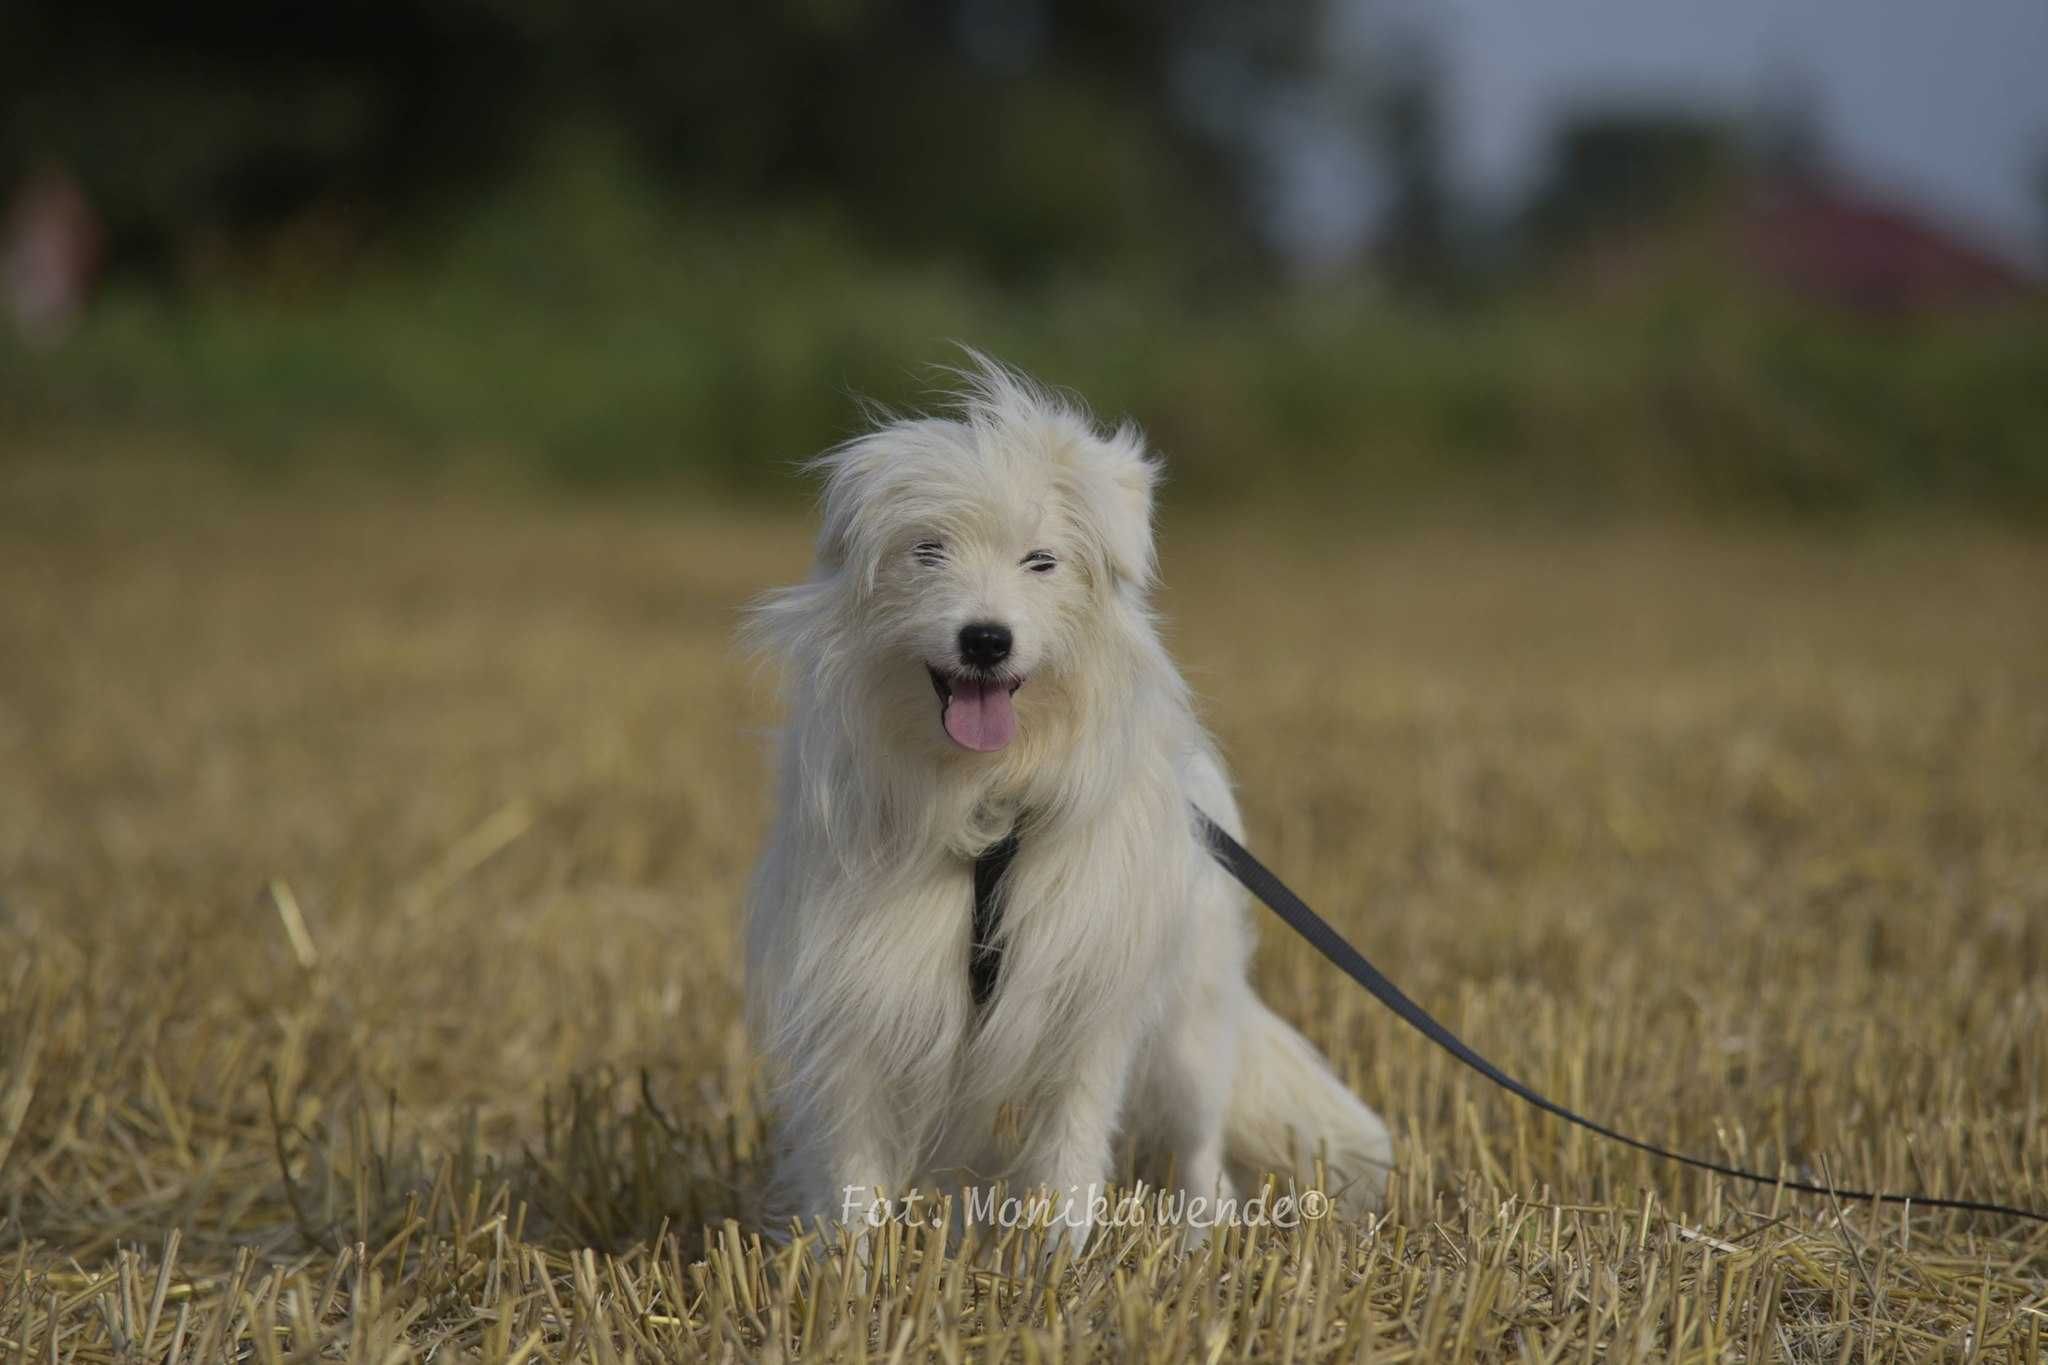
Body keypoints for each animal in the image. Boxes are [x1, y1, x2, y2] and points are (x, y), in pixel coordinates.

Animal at [737, 360, 1392, 1236]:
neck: (985, 809)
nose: (986, 638)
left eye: (1041, 561)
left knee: (1201, 1149)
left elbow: (1070, 1159)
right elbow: (854, 1177)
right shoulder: (857, 1000)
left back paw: (1199, 1238)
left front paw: (1065, 1258)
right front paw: (853, 1265)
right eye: (927, 551)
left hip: (1192, 1024)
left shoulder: (1086, 1007)